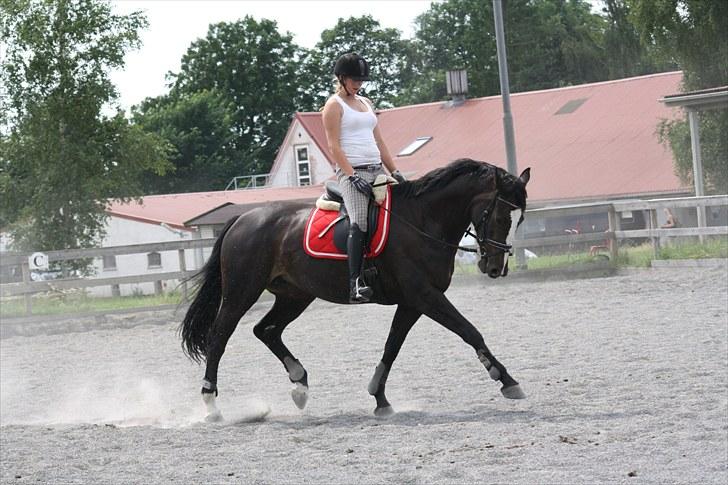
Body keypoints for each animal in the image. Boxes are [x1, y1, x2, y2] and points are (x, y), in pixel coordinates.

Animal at [179, 157, 532, 418]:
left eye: (521, 219)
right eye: (501, 217)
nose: (496, 268)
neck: (422, 220)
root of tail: (242, 218)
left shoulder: (412, 302)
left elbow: (392, 346)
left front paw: (380, 399)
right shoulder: (425, 296)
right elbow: (469, 331)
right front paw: (507, 380)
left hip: (295, 295)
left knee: (266, 330)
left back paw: (300, 384)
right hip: (241, 293)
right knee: (219, 337)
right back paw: (211, 405)